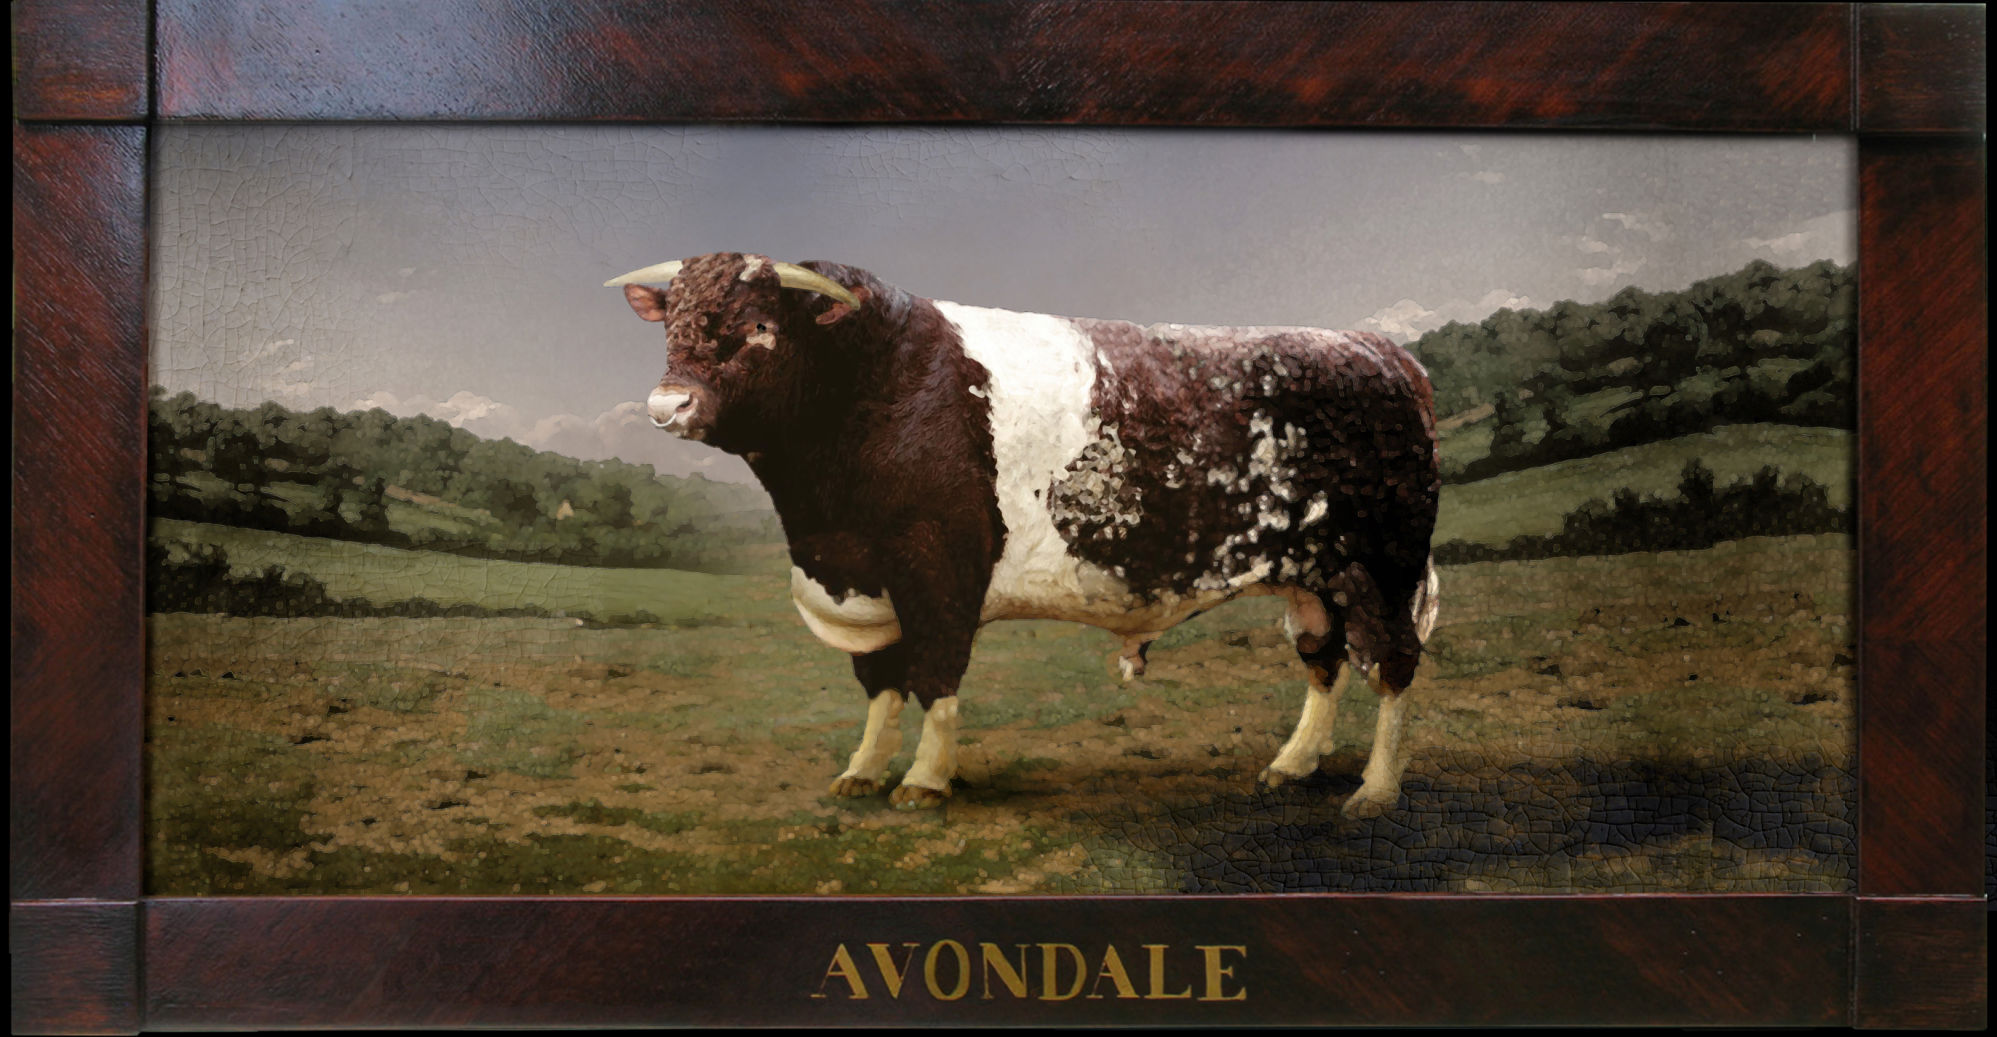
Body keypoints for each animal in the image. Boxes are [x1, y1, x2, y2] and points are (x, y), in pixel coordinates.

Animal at [609, 252, 1441, 818]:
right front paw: (861, 772)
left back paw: (1374, 790)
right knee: (1323, 659)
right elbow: (880, 684)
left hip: (1383, 565)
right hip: (1312, 575)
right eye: (672, 325)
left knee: (1393, 664)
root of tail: (1378, 349)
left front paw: (923, 780)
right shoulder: (862, 576)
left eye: (758, 327)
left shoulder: (936, 565)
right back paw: (1290, 765)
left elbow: (935, 675)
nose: (667, 404)